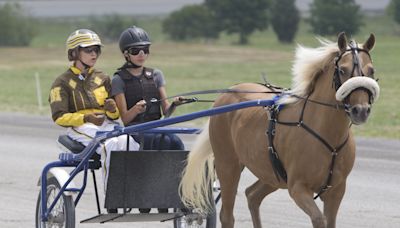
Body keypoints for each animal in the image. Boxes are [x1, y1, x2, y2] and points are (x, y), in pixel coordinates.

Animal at [180, 32, 380, 228]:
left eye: (371, 70)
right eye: (342, 70)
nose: (361, 110)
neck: (327, 135)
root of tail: (227, 93)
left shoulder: (336, 190)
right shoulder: (298, 187)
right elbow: (318, 219)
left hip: (271, 173)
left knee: (252, 195)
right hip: (228, 165)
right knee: (227, 216)